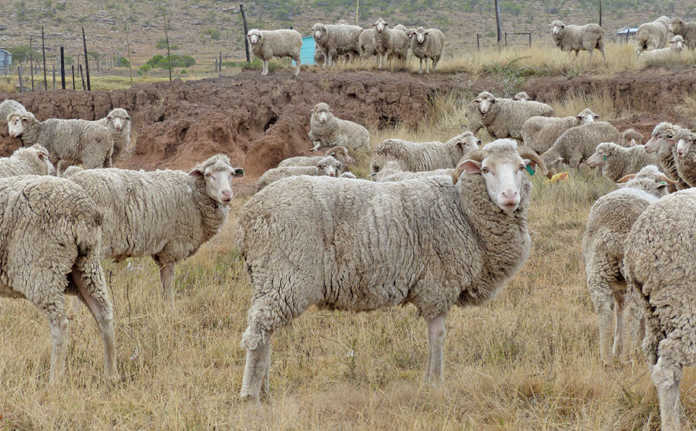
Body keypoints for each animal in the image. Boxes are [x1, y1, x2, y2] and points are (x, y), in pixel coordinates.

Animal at [0, 175, 117, 382]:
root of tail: (83, 211)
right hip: (87, 266)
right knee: (104, 315)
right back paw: (111, 375)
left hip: (44, 271)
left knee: (60, 324)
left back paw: (55, 380)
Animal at [64, 154, 244, 303]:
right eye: (208, 175)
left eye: (231, 174)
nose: (227, 195)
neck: (194, 195)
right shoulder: (171, 249)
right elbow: (169, 285)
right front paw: (170, 310)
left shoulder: (161, 252)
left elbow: (164, 285)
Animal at [236, 139, 542, 401]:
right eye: (486, 170)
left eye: (519, 167)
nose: (510, 197)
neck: (462, 209)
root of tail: (249, 215)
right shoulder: (438, 285)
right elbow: (438, 336)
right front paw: (435, 382)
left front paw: (430, 379)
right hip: (285, 276)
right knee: (258, 333)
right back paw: (250, 395)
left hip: (270, 280)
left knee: (266, 334)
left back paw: (265, 390)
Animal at [582, 165, 673, 364]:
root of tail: (612, 235)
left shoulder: (618, 285)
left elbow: (619, 309)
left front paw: (617, 346)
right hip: (633, 273)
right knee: (633, 312)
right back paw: (629, 356)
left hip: (598, 270)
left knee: (605, 310)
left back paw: (606, 358)